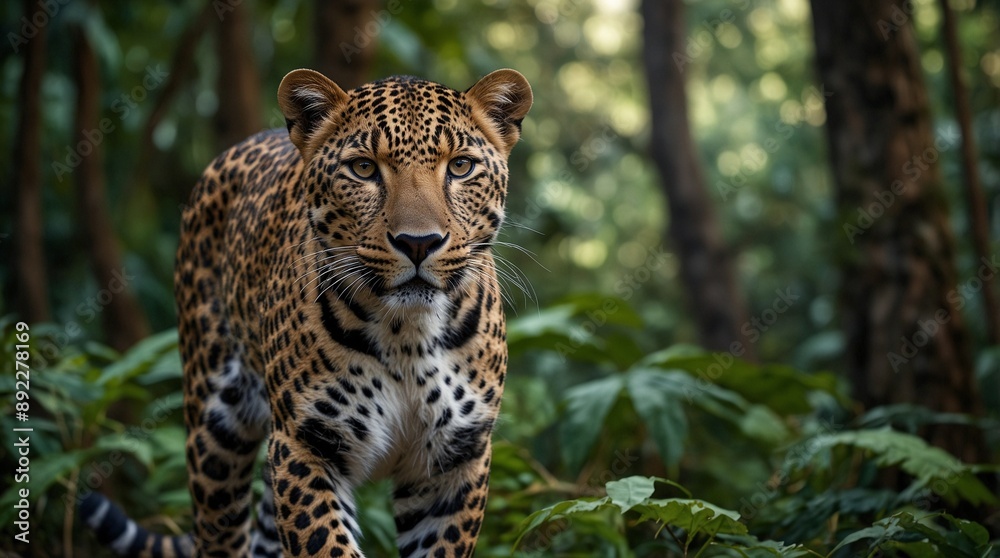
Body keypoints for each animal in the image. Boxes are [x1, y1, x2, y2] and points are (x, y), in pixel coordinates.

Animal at [80, 67, 532, 558]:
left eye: (461, 167)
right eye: (363, 168)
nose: (418, 243)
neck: (407, 335)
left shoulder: (456, 459)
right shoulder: (305, 444)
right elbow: (326, 543)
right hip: (215, 425)